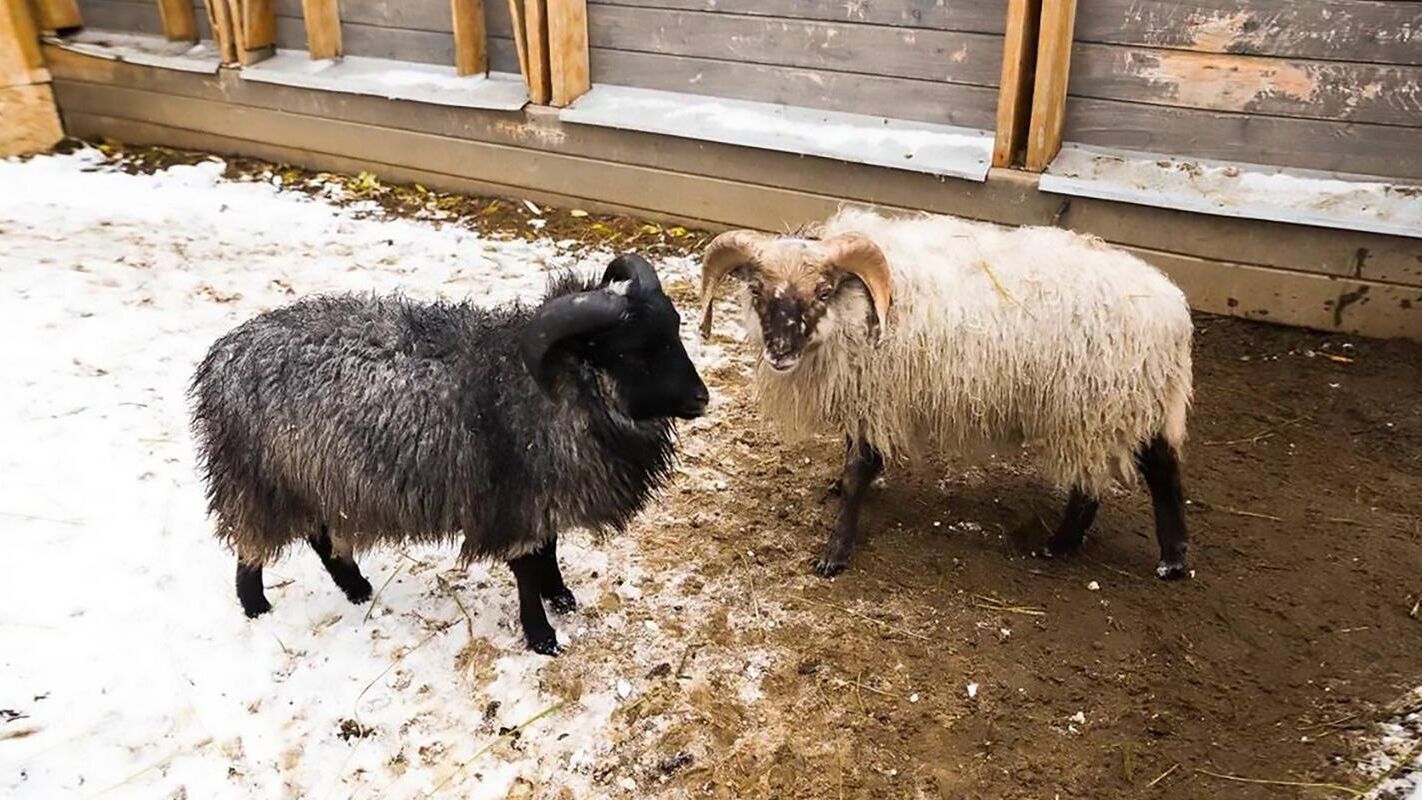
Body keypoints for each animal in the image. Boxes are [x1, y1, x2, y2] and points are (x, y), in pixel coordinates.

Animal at [190, 254, 709, 654]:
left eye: (675, 331)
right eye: (634, 353)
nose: (701, 398)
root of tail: (220, 358)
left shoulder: (542, 494)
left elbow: (550, 549)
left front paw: (561, 597)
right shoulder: (514, 502)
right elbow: (527, 568)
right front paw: (542, 636)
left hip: (315, 477)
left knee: (320, 537)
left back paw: (357, 589)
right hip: (259, 479)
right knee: (251, 546)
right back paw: (257, 608)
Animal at [699, 208, 1194, 580]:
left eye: (823, 290)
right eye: (756, 289)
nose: (779, 350)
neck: (859, 306)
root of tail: (1173, 308)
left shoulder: (879, 396)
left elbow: (862, 468)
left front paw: (835, 553)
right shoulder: (864, 396)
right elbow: (851, 455)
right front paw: (838, 487)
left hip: (1094, 408)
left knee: (1098, 484)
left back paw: (1061, 546)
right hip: (1132, 403)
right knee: (1162, 467)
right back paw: (1171, 559)